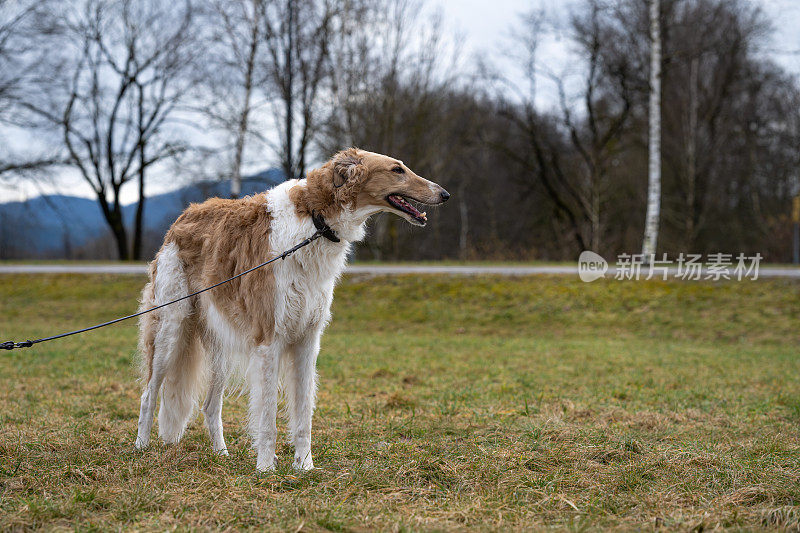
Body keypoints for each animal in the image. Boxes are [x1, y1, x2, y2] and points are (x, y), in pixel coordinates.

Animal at [135, 148, 454, 468]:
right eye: (397, 169)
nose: (445, 194)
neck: (316, 221)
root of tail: (182, 217)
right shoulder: (269, 341)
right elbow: (268, 419)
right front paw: (266, 468)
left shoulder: (307, 341)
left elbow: (303, 417)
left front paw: (305, 466)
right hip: (170, 329)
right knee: (149, 393)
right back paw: (141, 448)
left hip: (220, 346)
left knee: (210, 405)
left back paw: (221, 454)